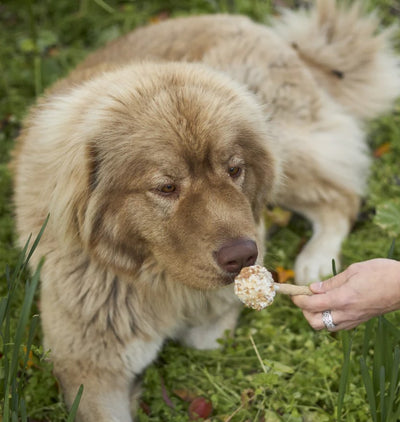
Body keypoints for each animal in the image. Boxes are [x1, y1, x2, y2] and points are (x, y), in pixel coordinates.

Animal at [13, 0, 400, 422]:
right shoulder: (88, 368)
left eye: (234, 170)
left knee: (340, 198)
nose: (243, 256)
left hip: (285, 146)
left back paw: (315, 261)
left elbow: (206, 334)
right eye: (166, 188)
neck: (157, 278)